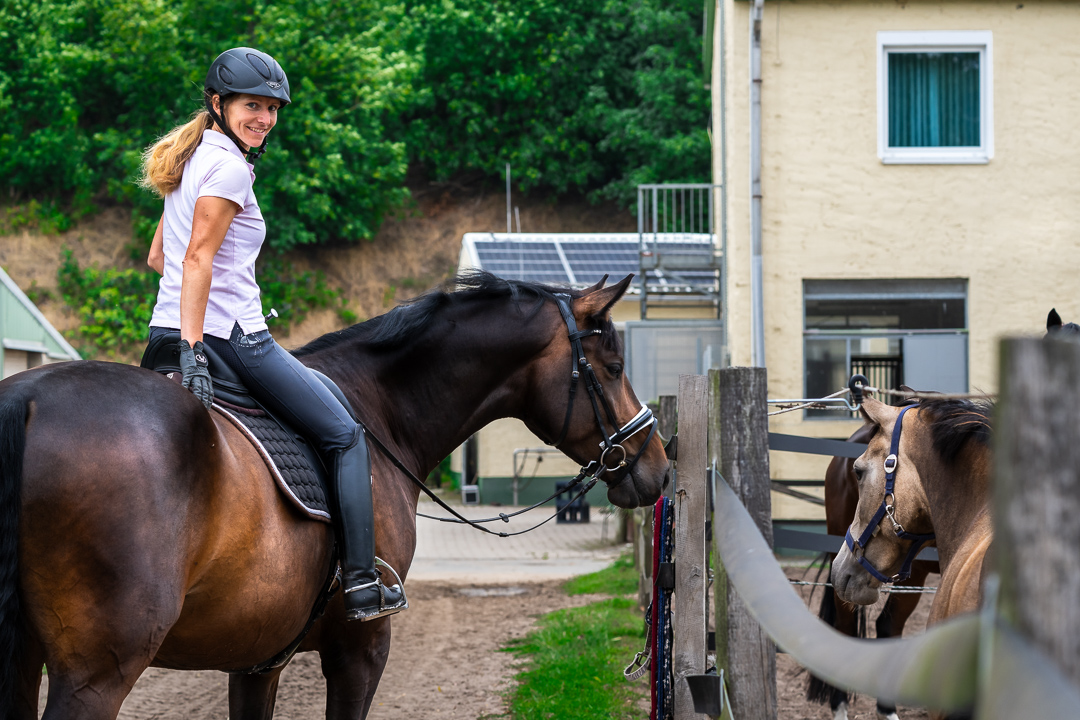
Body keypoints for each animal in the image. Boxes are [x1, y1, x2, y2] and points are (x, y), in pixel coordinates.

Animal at [0, 271, 671, 720]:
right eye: (613, 368)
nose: (659, 467)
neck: (378, 410)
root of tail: (25, 398)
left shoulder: (258, 658)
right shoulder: (361, 649)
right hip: (97, 674)